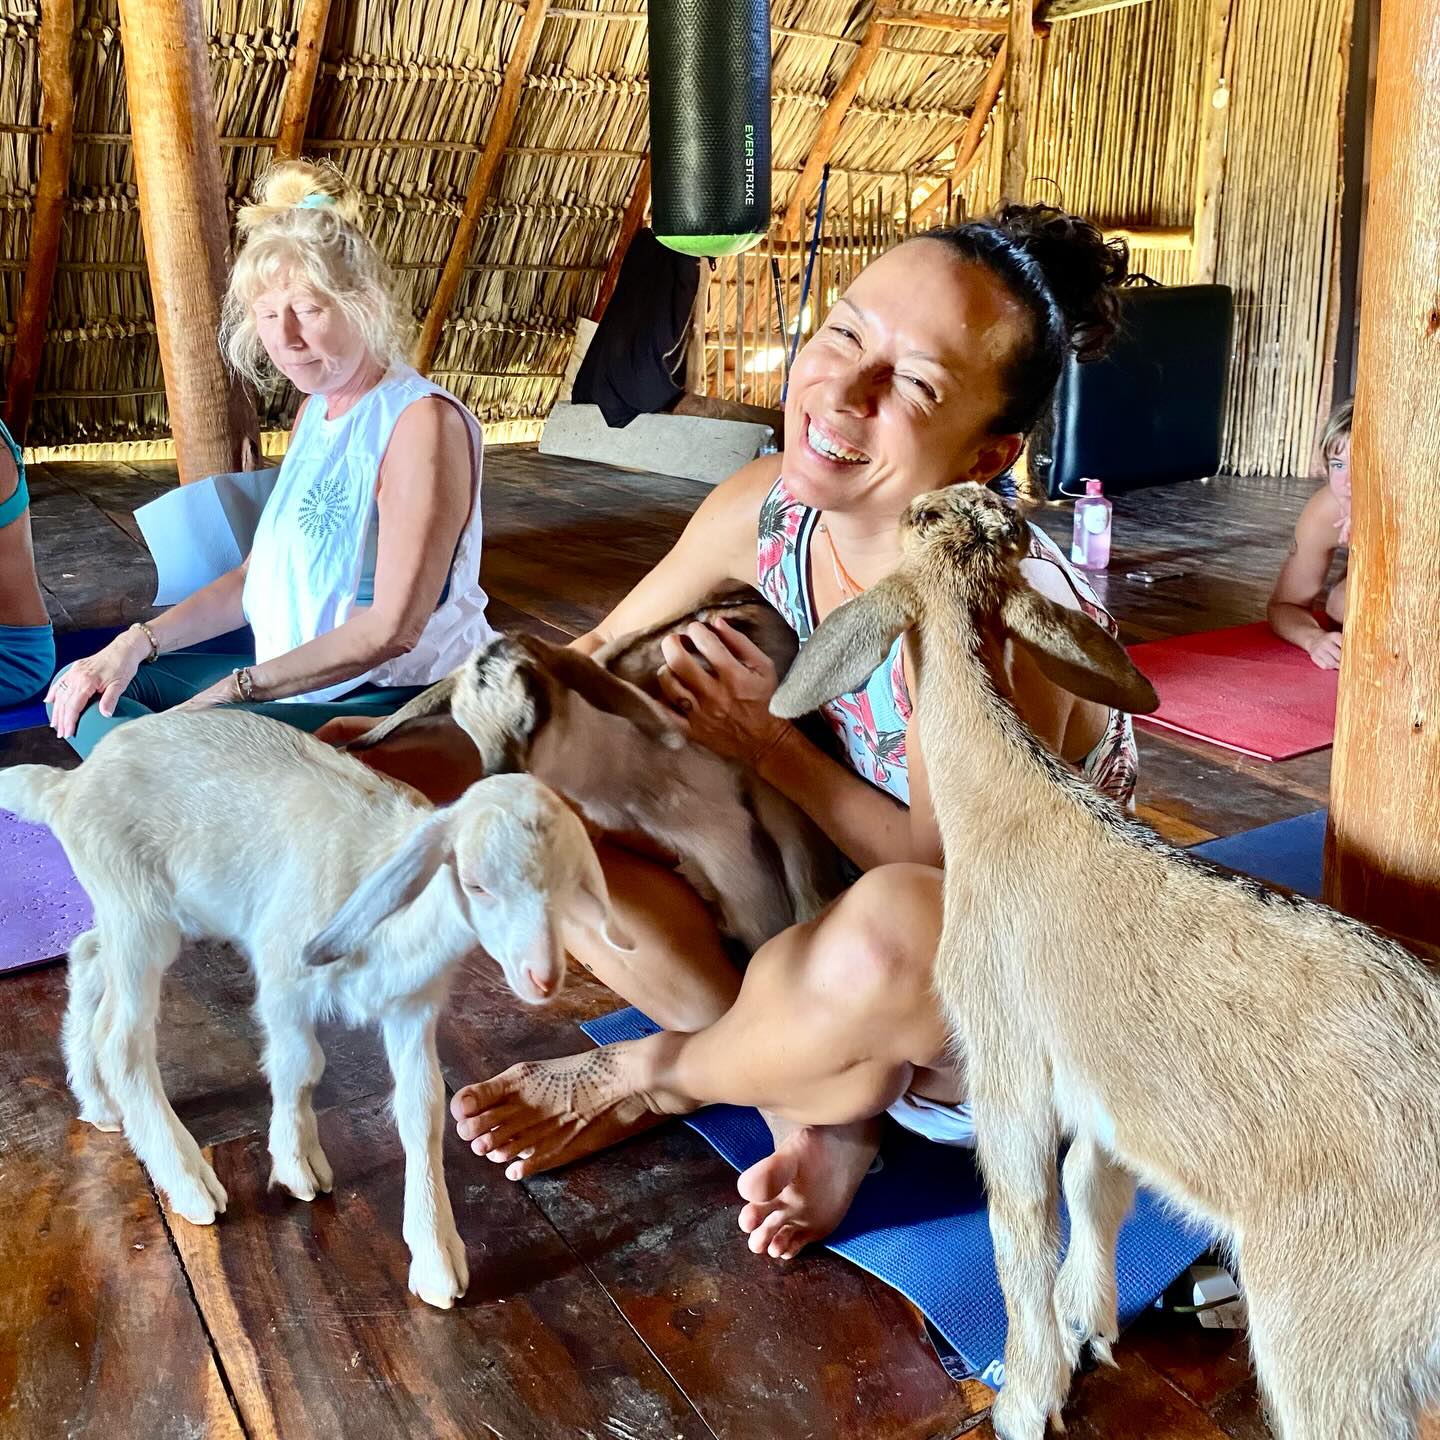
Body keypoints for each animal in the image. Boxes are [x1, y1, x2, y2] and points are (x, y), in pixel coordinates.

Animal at [0, 709, 630, 1309]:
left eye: (572, 883)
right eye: (475, 883)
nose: (543, 977)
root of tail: (69, 785)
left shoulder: (412, 1009)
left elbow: (423, 1108)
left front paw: (435, 1257)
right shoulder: (284, 978)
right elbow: (300, 1069)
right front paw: (297, 1164)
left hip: (152, 913)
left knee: (86, 956)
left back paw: (98, 1101)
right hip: (138, 912)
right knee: (124, 1040)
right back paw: (189, 1182)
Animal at [772, 483, 1440, 1440]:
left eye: (919, 521)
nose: (944, 497)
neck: (1009, 803)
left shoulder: (1005, 1047)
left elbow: (1018, 1221)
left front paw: (1026, 1395)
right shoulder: (1098, 1081)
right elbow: (1091, 1179)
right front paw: (1087, 1316)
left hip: (1337, 1324)